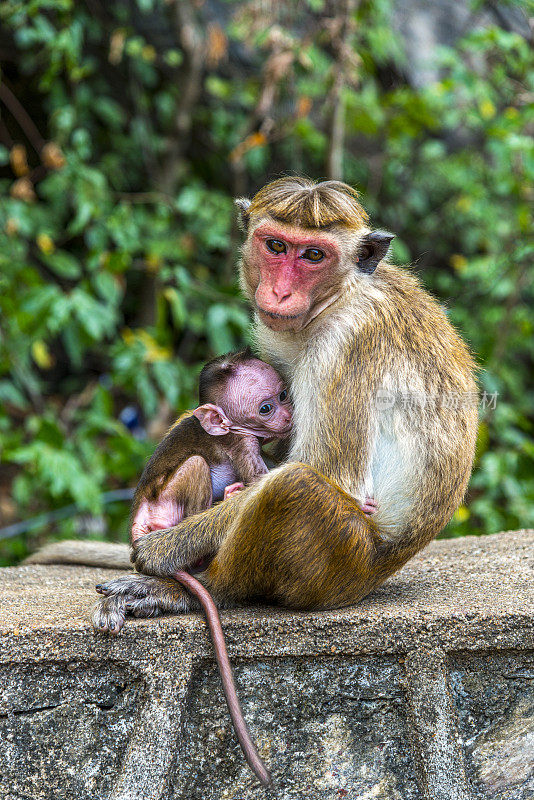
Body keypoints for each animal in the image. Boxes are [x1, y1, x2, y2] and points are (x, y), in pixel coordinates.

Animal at [90, 177, 480, 632]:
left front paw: (164, 548)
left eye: (314, 255)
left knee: (294, 486)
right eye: (276, 246)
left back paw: (198, 590)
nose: (279, 291)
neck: (339, 298)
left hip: (338, 565)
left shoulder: (345, 344)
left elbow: (324, 471)